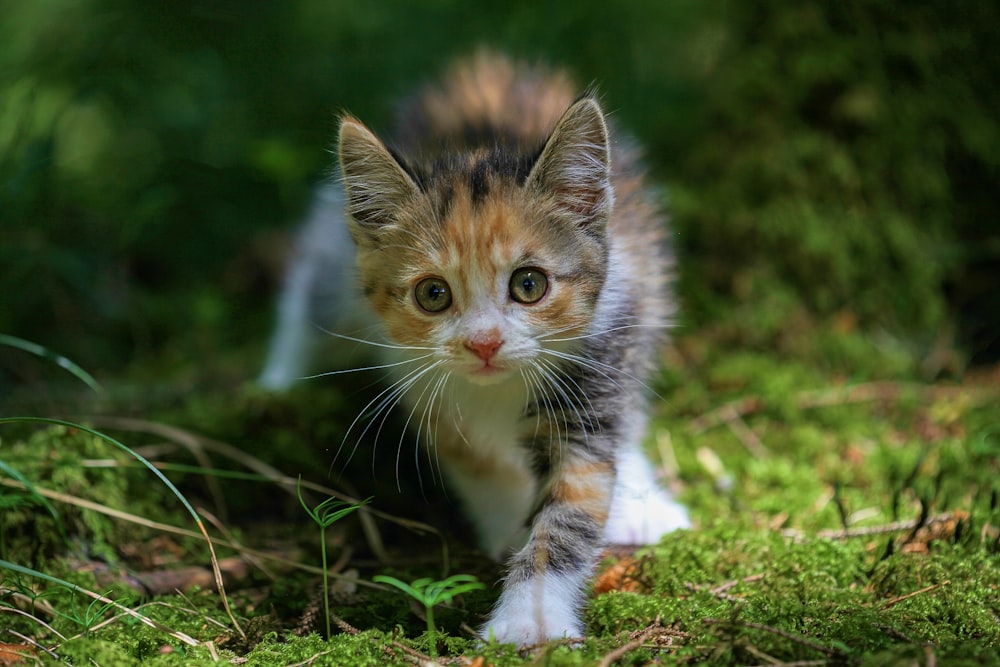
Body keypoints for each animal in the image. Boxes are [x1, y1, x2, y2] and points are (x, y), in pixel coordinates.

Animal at [262, 52, 692, 648]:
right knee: (313, 279)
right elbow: (474, 458)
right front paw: (507, 530)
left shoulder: (598, 360)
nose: (484, 342)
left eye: (529, 285)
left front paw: (530, 618)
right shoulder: (417, 375)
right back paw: (276, 378)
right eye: (432, 294)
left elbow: (571, 505)